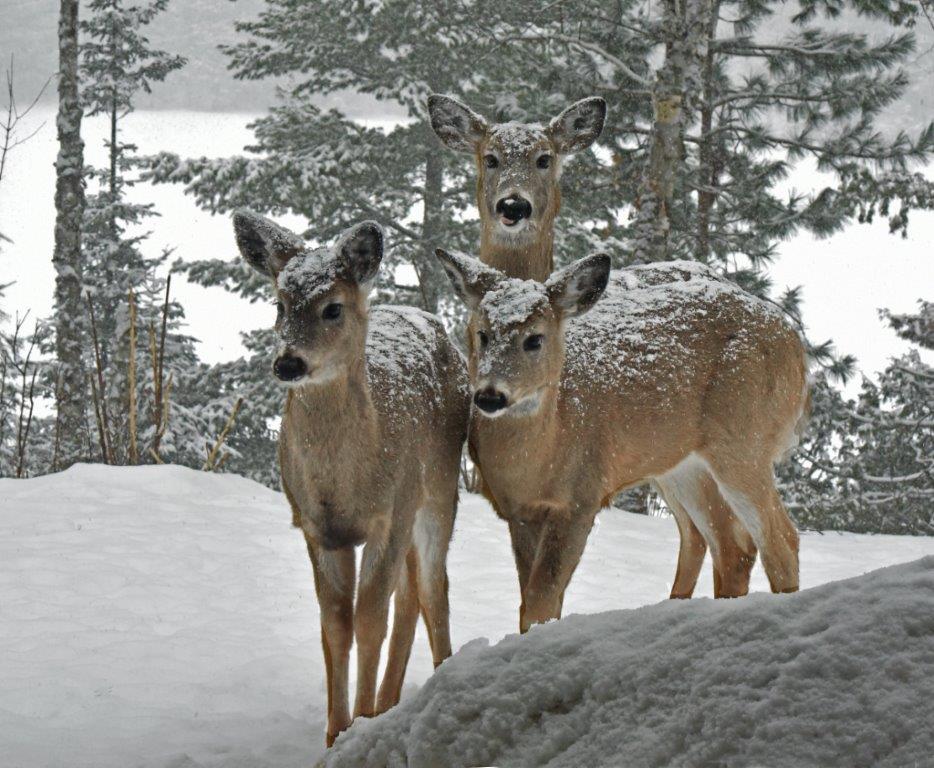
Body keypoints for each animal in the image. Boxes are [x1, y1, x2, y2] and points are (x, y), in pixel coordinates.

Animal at [233, 212, 469, 746]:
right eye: (279, 304)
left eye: (333, 308)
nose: (288, 362)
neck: (344, 486)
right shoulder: (317, 528)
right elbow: (336, 624)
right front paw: (335, 733)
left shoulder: (391, 513)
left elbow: (369, 618)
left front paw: (359, 727)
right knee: (411, 593)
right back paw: (390, 701)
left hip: (439, 487)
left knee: (432, 587)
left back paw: (439, 679)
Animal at [436, 248, 809, 633]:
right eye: (482, 334)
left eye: (534, 339)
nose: (490, 395)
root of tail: (794, 345)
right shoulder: (518, 511)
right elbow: (532, 600)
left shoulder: (581, 496)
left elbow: (541, 600)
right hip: (680, 463)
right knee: (728, 544)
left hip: (745, 439)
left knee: (780, 538)